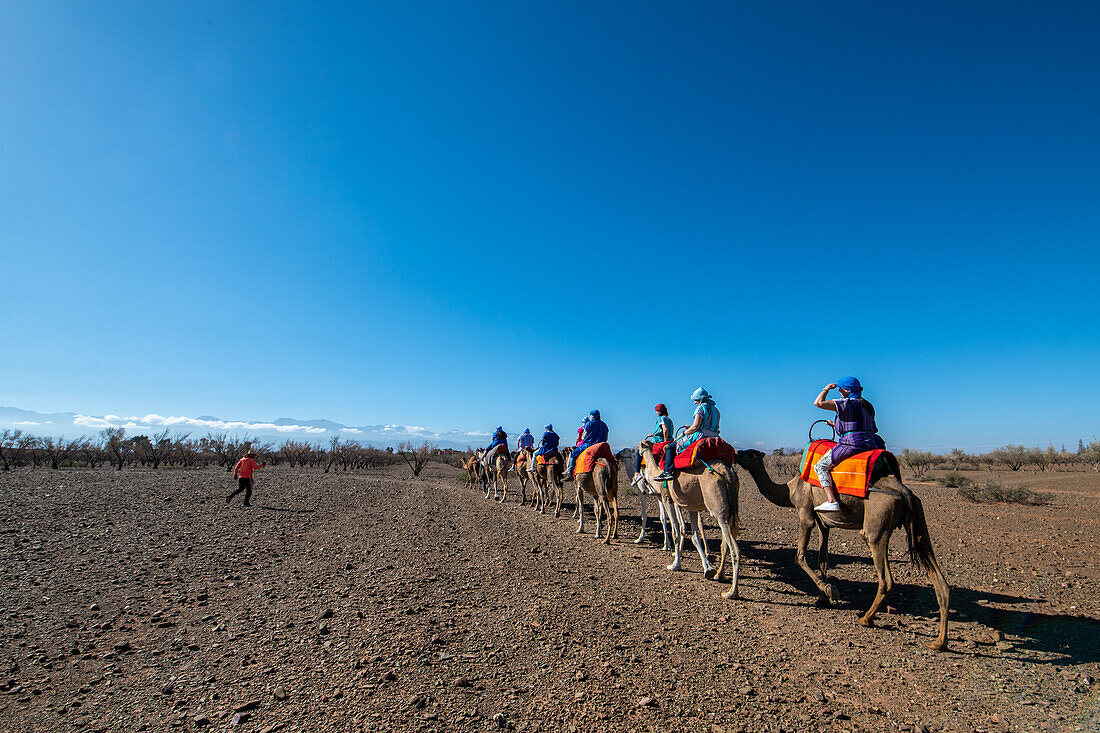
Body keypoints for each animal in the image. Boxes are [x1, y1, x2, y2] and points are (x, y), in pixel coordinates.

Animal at [638, 435, 739, 598]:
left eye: (640, 446)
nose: (639, 452)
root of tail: (726, 473)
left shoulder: (667, 498)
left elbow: (676, 531)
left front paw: (675, 564)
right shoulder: (691, 506)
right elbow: (694, 536)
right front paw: (708, 569)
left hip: (718, 508)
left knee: (734, 548)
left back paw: (731, 592)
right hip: (730, 511)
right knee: (725, 544)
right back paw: (719, 575)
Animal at [730, 449, 954, 647]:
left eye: (750, 453)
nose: (736, 453)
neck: (790, 490)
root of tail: (905, 492)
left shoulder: (805, 514)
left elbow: (800, 557)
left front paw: (830, 590)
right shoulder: (823, 523)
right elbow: (823, 559)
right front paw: (822, 598)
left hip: (876, 527)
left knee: (886, 579)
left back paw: (866, 619)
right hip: (919, 520)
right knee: (940, 580)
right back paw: (939, 642)